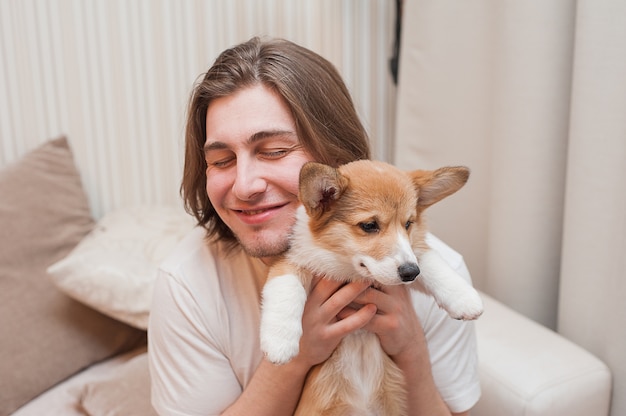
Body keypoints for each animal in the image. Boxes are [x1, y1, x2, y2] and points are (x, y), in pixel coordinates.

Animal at [260, 160, 482, 416]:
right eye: (369, 225)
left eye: (408, 224)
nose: (410, 273)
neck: (348, 270)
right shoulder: (291, 260)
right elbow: (286, 287)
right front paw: (280, 341)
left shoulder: (414, 253)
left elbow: (432, 263)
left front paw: (465, 299)